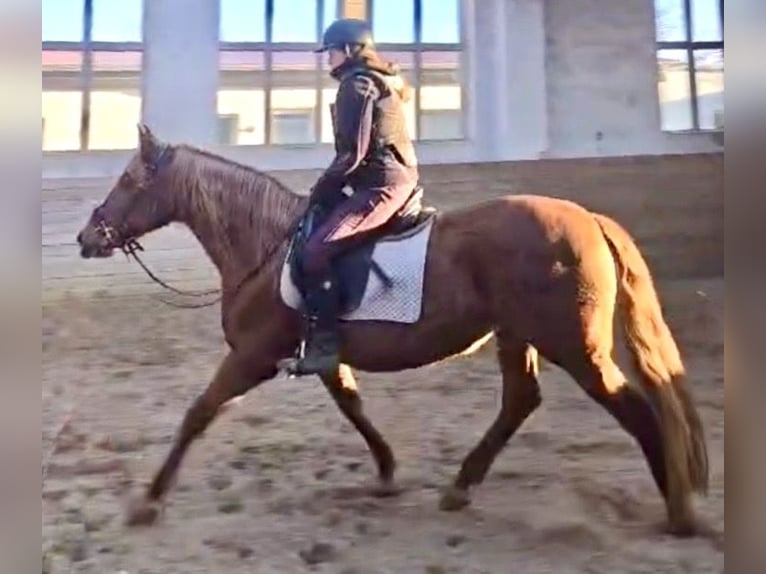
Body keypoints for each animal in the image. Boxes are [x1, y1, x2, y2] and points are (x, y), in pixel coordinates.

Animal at [75, 124, 709, 536]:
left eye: (129, 179)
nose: (88, 237)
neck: (266, 247)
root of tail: (588, 218)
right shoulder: (323, 356)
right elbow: (353, 408)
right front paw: (385, 473)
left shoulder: (252, 356)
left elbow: (198, 414)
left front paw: (147, 503)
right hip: (518, 334)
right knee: (520, 401)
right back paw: (460, 487)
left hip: (575, 346)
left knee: (635, 409)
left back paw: (679, 513)